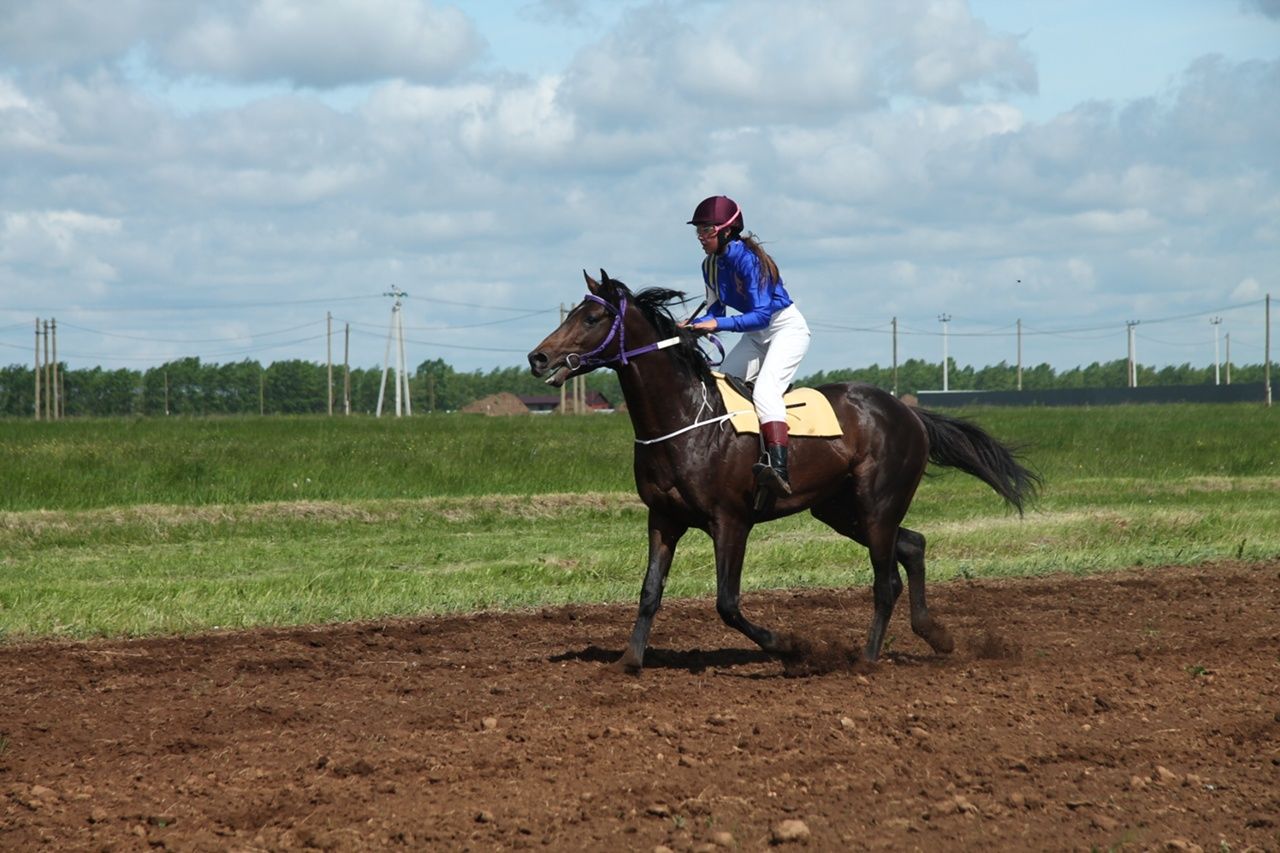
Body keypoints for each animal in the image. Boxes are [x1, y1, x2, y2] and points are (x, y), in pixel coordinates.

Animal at [529, 270, 1039, 671]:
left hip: (877, 504)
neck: (684, 418)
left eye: (590, 318)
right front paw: (628, 661)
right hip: (839, 509)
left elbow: (727, 604)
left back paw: (867, 659)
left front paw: (792, 647)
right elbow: (650, 591)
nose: (538, 357)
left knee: (885, 580)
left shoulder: (730, 521)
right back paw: (935, 634)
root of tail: (909, 412)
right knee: (913, 545)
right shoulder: (664, 518)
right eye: (573, 312)